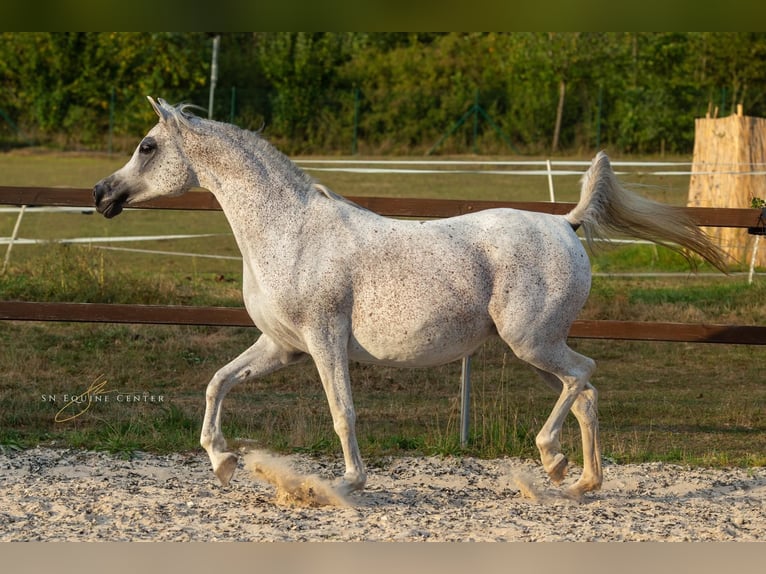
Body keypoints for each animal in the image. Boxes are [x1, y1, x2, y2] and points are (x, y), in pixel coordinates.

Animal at [93, 98, 728, 500]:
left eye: (147, 146)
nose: (102, 194)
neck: (288, 231)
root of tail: (566, 224)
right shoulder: (281, 346)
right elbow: (218, 383)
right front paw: (223, 460)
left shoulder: (324, 340)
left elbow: (343, 412)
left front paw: (342, 485)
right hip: (537, 349)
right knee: (586, 392)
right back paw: (577, 483)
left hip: (532, 343)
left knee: (584, 376)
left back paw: (552, 458)